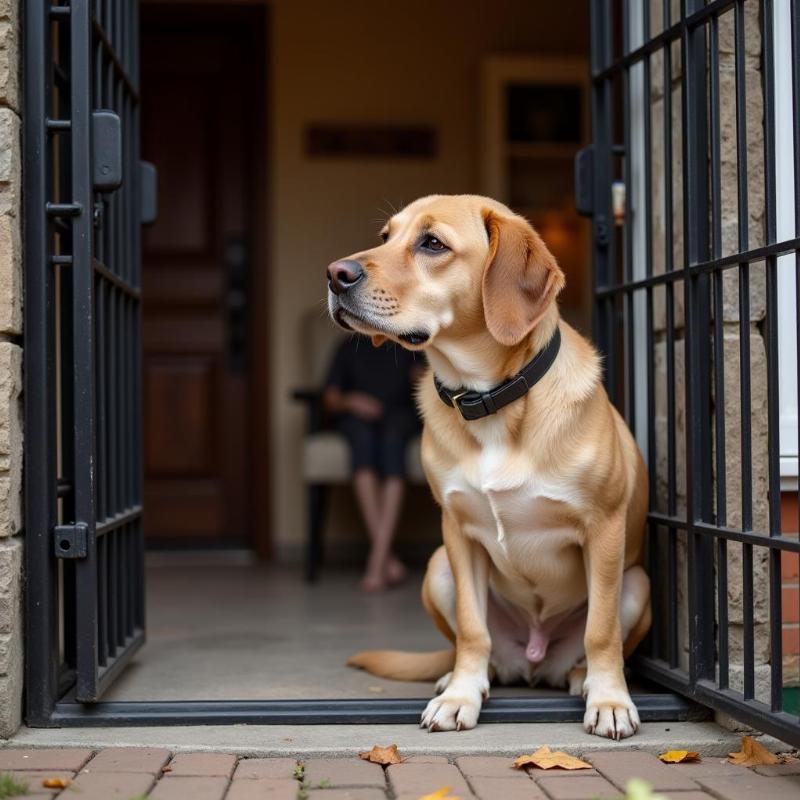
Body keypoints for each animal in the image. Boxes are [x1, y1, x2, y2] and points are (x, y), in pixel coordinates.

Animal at [324, 192, 648, 736]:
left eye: (432, 244)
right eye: (386, 237)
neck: (489, 400)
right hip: (438, 568)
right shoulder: (458, 533)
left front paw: (610, 699)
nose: (334, 273)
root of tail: (536, 660)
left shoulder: (604, 529)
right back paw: (464, 678)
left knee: (588, 648)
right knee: (475, 648)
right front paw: (460, 695)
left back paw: (582, 679)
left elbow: (600, 632)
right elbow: (473, 632)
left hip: (636, 583)